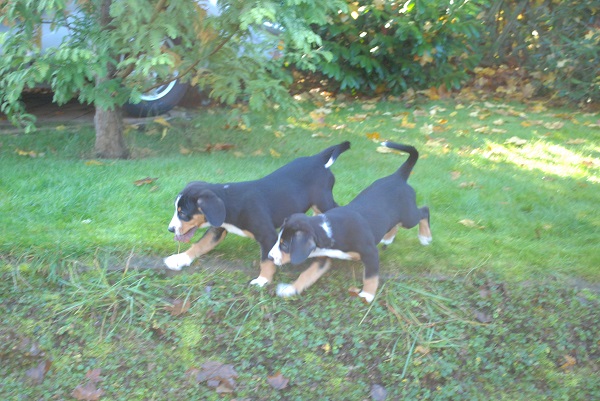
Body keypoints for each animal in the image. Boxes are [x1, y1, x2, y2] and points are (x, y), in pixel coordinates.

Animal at [164, 141, 350, 287]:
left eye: (183, 213)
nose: (170, 229)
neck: (230, 201)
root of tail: (317, 159)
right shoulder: (217, 229)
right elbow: (200, 244)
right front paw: (180, 259)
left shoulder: (267, 235)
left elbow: (266, 259)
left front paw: (262, 280)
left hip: (322, 200)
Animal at [268, 141, 431, 303]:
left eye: (285, 245)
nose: (269, 257)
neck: (329, 230)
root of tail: (398, 177)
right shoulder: (323, 258)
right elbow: (307, 274)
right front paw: (290, 289)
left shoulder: (371, 253)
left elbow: (370, 276)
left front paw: (367, 295)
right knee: (395, 223)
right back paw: (388, 238)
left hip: (408, 217)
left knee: (424, 211)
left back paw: (425, 237)